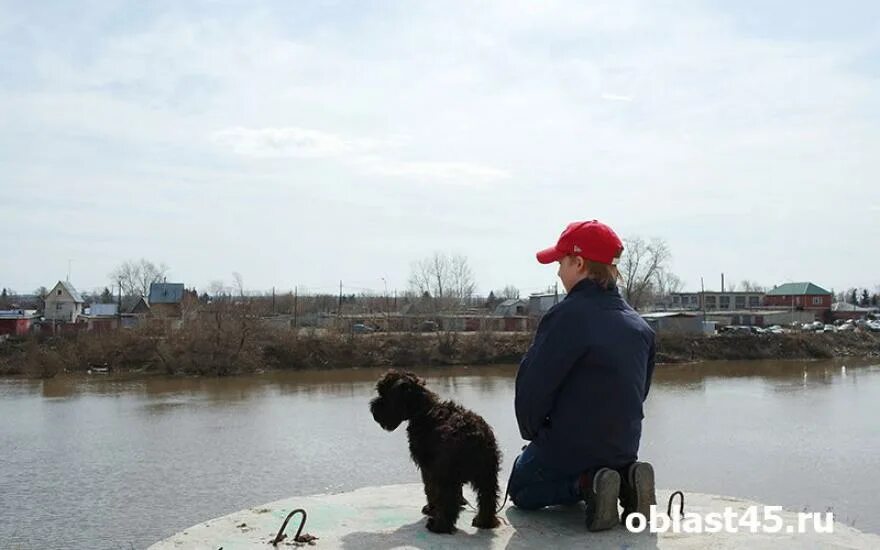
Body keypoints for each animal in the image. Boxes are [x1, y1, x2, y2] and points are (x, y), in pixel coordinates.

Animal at [368, 370, 498, 536]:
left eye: (384, 393)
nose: (373, 409)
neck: (423, 411)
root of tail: (474, 435)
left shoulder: (428, 469)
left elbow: (430, 490)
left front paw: (431, 509)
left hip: (448, 476)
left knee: (449, 502)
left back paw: (438, 526)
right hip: (487, 476)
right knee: (488, 499)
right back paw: (484, 522)